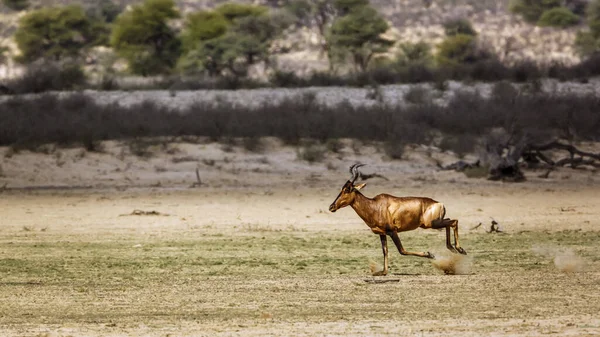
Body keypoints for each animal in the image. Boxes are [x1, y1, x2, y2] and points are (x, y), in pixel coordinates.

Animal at [330, 163, 466, 276]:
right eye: (342, 189)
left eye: (347, 189)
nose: (332, 207)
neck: (374, 205)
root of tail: (439, 203)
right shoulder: (382, 233)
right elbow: (385, 251)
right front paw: (382, 272)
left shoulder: (392, 231)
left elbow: (402, 250)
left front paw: (429, 254)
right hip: (434, 223)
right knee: (449, 222)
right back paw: (452, 249)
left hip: (431, 224)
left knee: (454, 221)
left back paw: (460, 249)